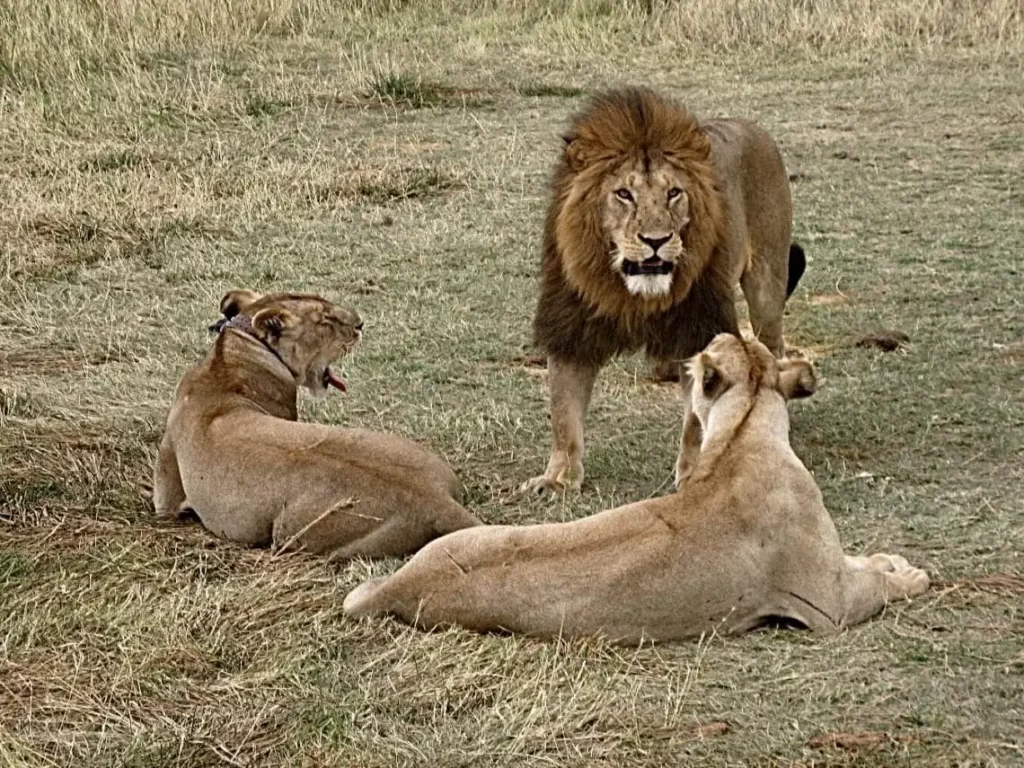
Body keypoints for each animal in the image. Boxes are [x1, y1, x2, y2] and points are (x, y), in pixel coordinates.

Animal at [153, 290, 481, 561]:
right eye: (325, 320)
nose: (361, 324)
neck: (229, 356)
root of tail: (438, 499)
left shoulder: (166, 487)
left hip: (292, 534)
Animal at [344, 335, 929, 643]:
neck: (740, 435)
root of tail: (401, 585)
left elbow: (862, 560)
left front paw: (889, 559)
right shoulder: (827, 605)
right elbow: (878, 584)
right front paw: (909, 573)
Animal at [524, 85, 802, 493]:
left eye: (673, 193)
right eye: (624, 194)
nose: (656, 241)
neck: (629, 290)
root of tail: (749, 126)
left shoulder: (696, 329)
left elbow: (695, 422)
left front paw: (693, 471)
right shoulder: (573, 326)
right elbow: (563, 411)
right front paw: (558, 478)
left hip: (767, 280)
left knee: (773, 345)